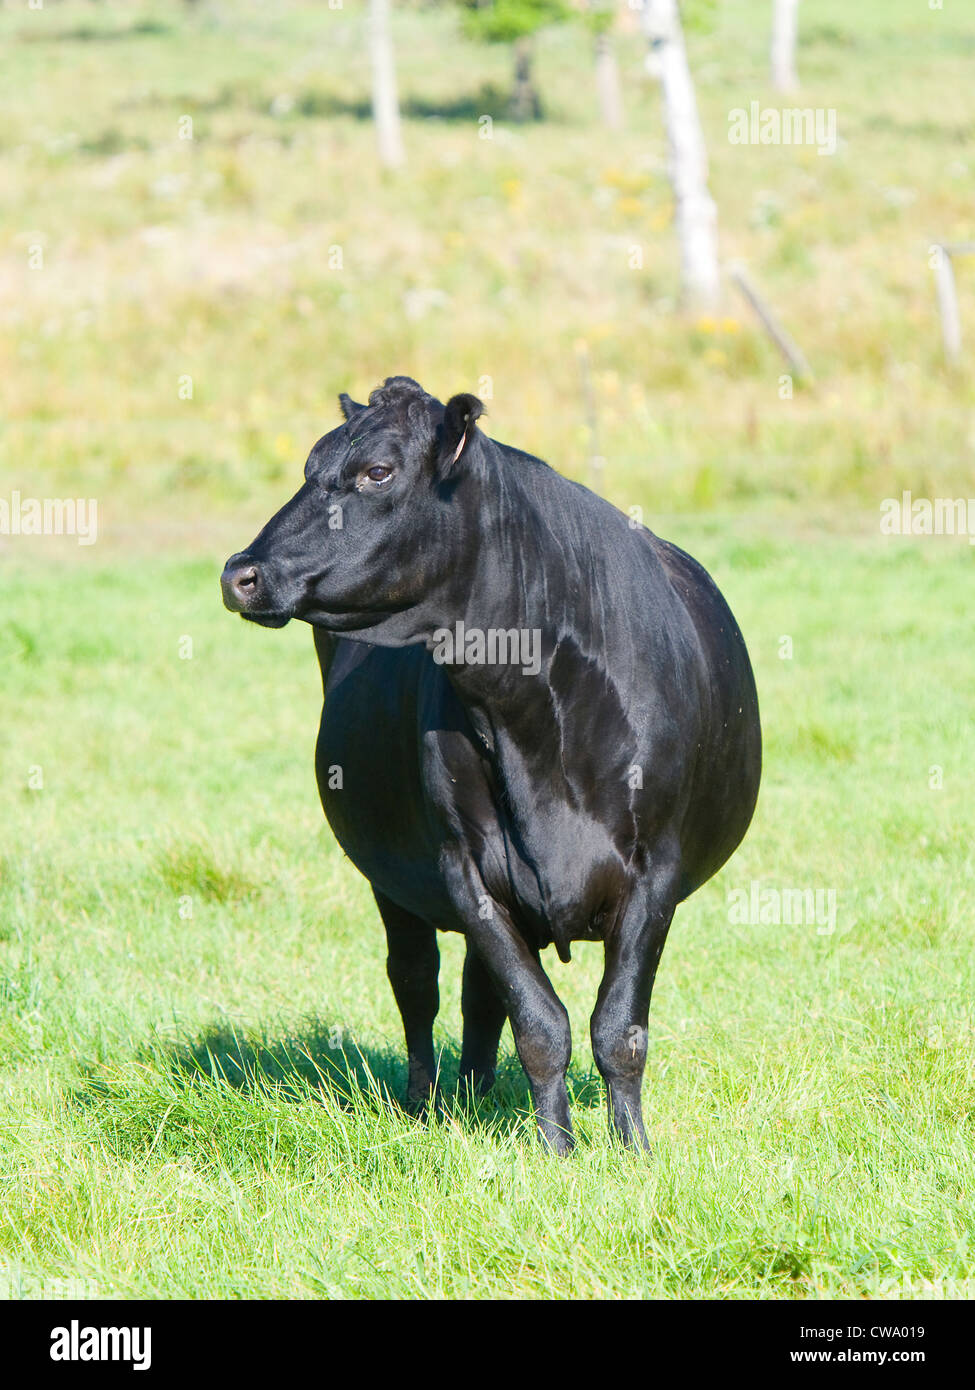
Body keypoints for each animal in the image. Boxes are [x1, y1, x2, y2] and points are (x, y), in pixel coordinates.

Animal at [221, 376, 761, 1153]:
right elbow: (539, 1024)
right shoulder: (464, 867)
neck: (532, 718)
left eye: (376, 471)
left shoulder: (656, 869)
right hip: (394, 874)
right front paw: (558, 1151)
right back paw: (426, 1104)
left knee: (478, 998)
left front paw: (631, 1150)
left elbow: (617, 1029)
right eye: (308, 465)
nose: (240, 573)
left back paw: (474, 1098)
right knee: (418, 982)